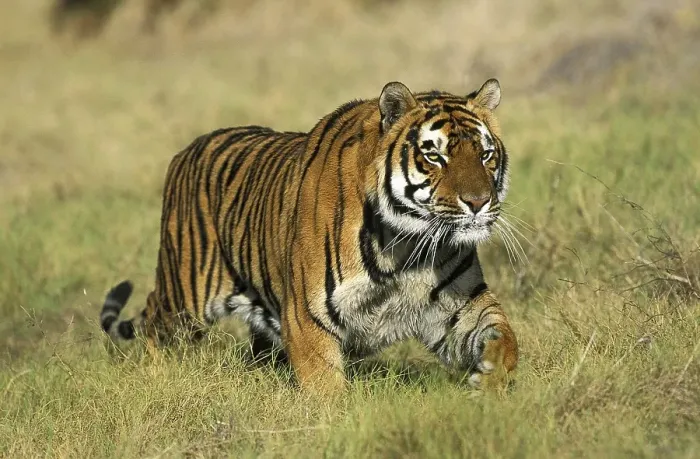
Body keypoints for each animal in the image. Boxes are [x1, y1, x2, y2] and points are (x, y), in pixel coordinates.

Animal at [100, 79, 518, 393]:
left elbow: (504, 336)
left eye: (485, 155)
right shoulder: (307, 316)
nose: (478, 202)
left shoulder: (462, 305)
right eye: (434, 156)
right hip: (183, 297)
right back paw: (156, 377)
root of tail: (186, 150)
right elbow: (324, 389)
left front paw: (490, 384)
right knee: (154, 326)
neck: (405, 245)